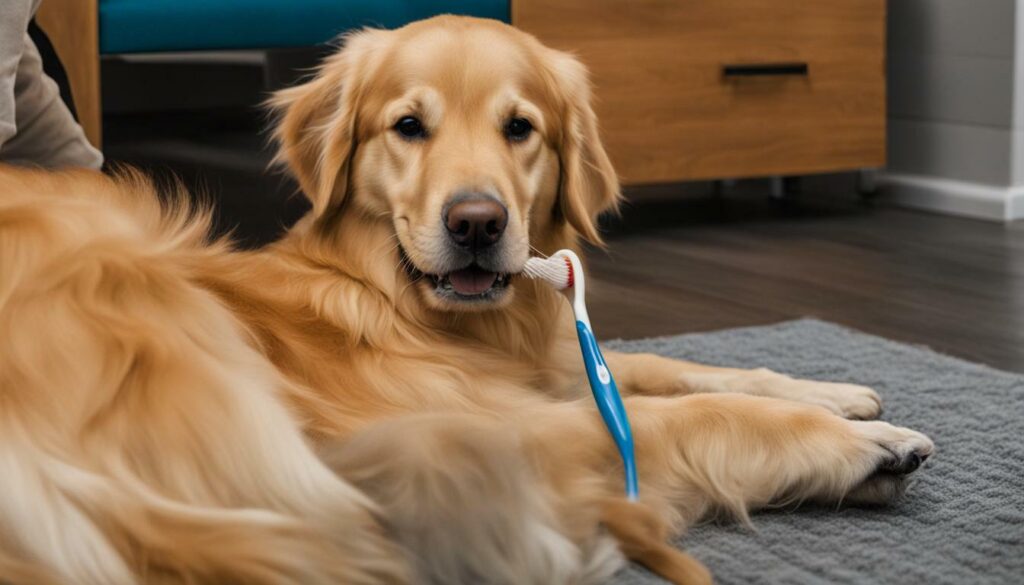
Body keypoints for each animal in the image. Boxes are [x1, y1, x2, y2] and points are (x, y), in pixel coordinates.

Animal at [0, 14, 937, 585]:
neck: (386, 296)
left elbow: (676, 366)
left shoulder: (554, 366)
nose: (479, 223)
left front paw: (837, 393)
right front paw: (864, 442)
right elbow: (684, 409)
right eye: (408, 126)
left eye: (520, 127)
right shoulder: (498, 412)